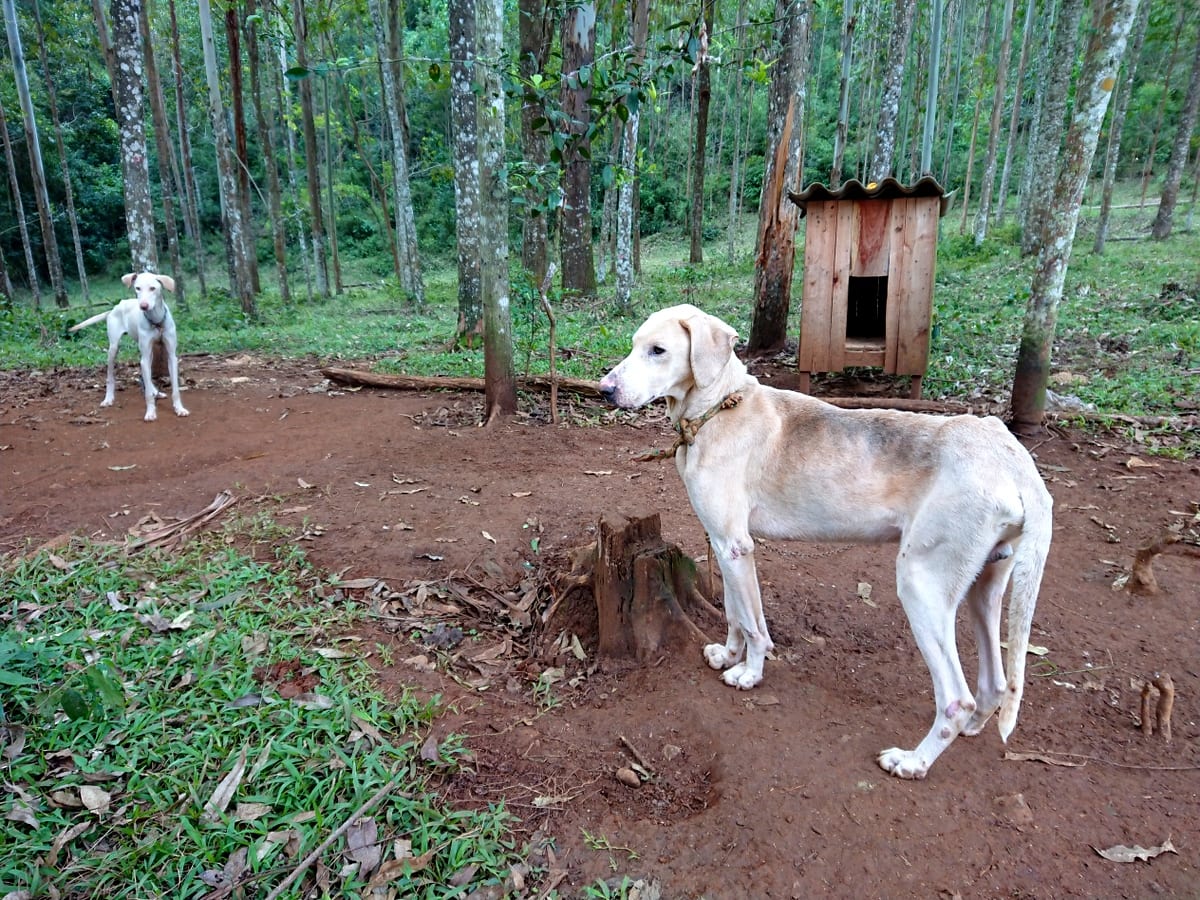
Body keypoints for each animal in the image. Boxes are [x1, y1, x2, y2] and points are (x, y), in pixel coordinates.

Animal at [71, 271, 188, 422]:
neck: (156, 321)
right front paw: (150, 412)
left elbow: (175, 389)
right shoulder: (144, 354)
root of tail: (114, 308)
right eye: (137, 288)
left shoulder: (171, 356)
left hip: (148, 352)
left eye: (153, 288)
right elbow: (147, 393)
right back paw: (108, 398)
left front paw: (179, 409)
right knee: (111, 375)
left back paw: (155, 391)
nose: (143, 306)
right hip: (114, 348)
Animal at [600, 304, 1051, 782]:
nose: (605, 390)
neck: (718, 408)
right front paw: (728, 654)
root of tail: (1011, 455)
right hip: (986, 585)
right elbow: (735, 613)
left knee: (955, 698)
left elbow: (755, 624)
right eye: (635, 344)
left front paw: (750, 673)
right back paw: (972, 727)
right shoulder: (723, 545)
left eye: (658, 350)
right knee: (996, 683)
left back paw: (913, 761)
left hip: (921, 584)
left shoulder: (737, 546)